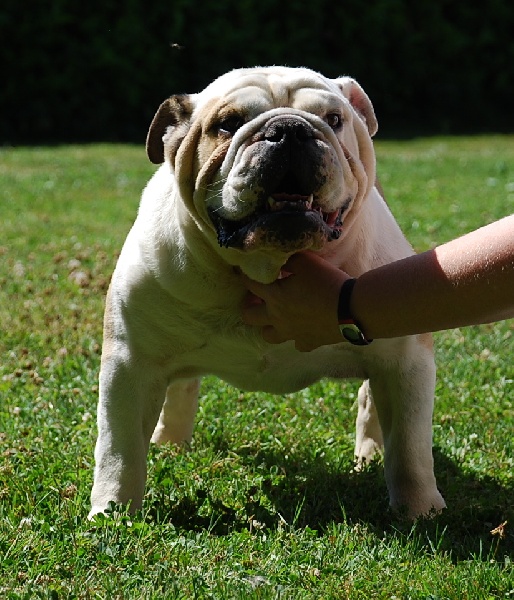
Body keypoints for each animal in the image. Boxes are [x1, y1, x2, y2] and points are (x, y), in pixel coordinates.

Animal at [89, 66, 445, 519]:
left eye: (333, 120)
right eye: (227, 124)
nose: (289, 130)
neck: (267, 263)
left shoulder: (404, 360)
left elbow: (411, 450)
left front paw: (420, 511)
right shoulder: (131, 363)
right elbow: (119, 450)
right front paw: (113, 512)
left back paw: (369, 454)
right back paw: (170, 443)